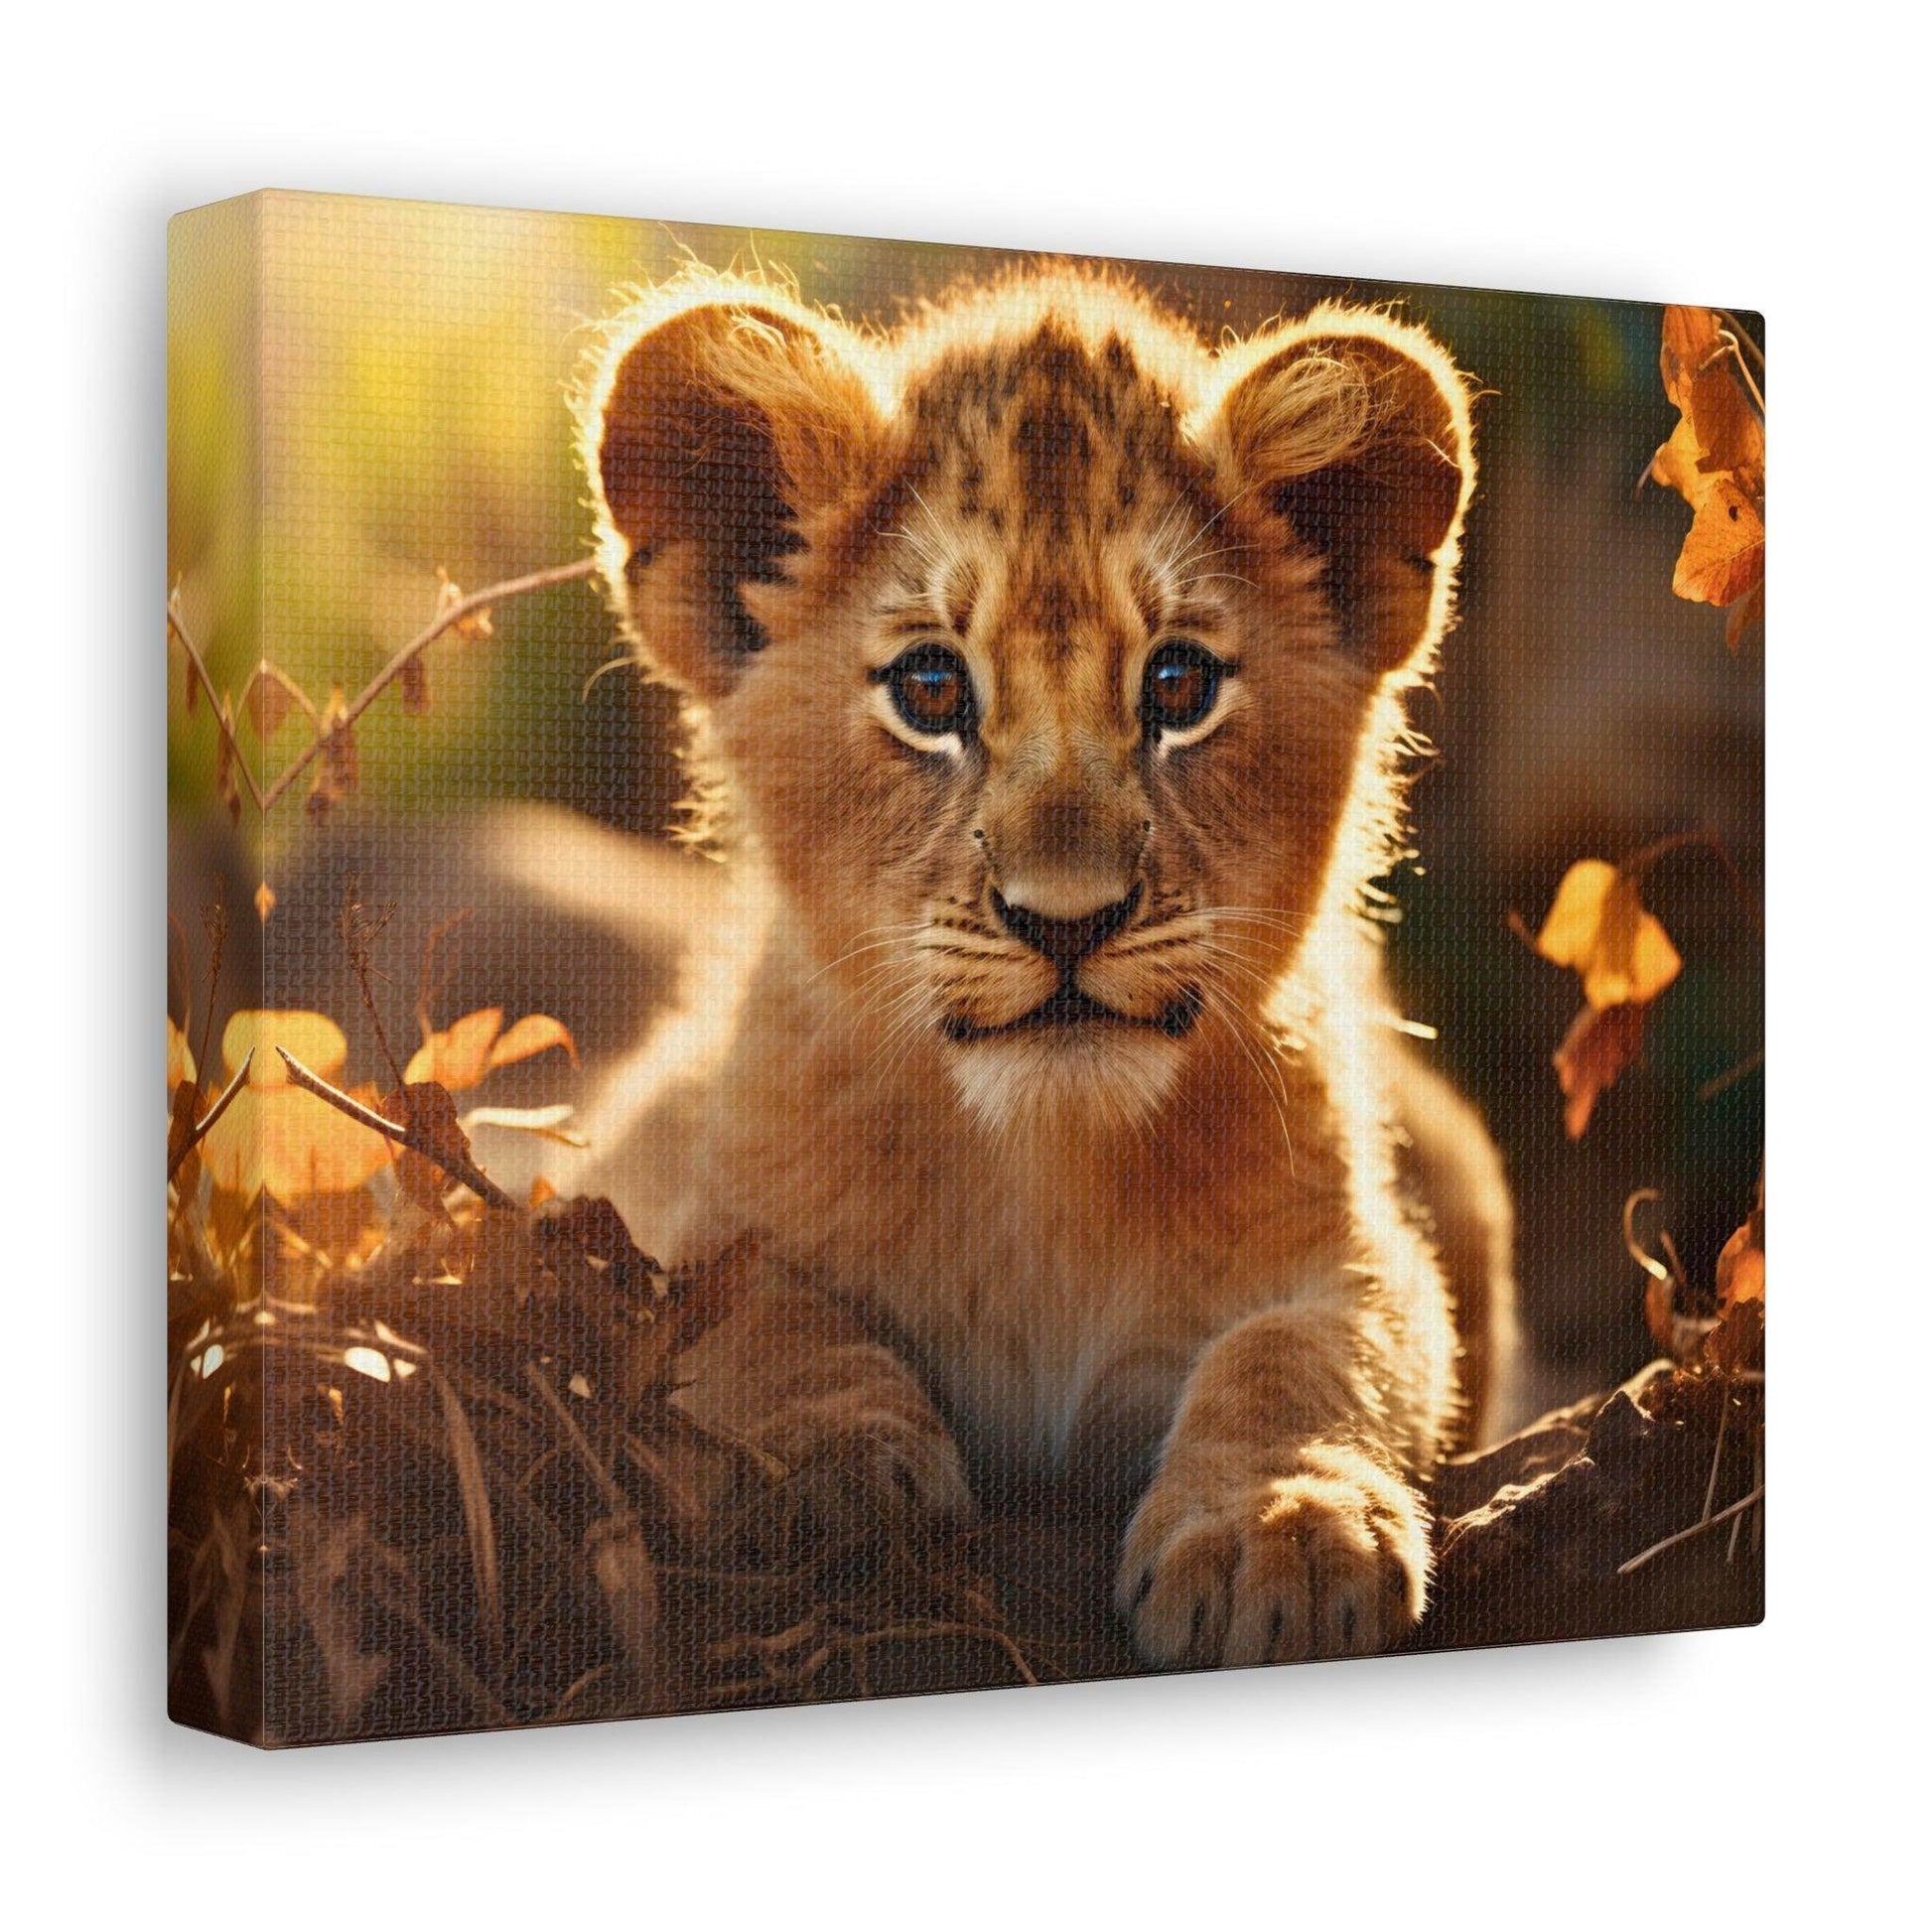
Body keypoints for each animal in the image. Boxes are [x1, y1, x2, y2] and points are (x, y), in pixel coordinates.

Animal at [571, 262, 1516, 1667]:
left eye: (1177, 685)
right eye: (928, 687)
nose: (1066, 920)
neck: (1045, 1168)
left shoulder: (1354, 1246)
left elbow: (1309, 1353)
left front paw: (1278, 1528)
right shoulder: (674, 1198)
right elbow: (751, 1315)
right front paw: (822, 1470)